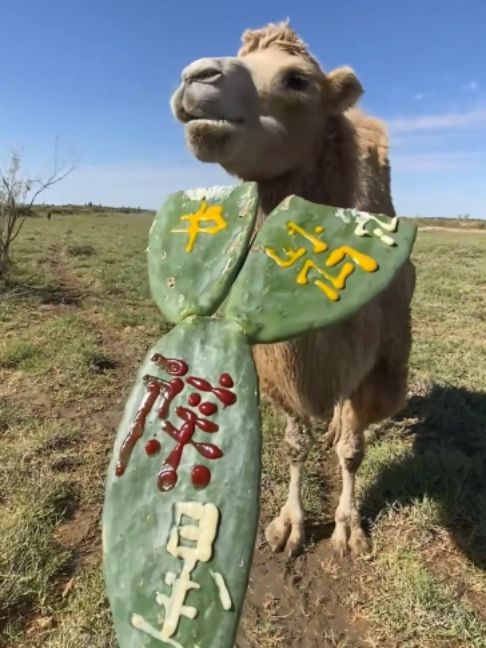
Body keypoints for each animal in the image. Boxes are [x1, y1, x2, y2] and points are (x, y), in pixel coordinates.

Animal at [170, 20, 416, 558]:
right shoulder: (277, 365)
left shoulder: (376, 361)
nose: (194, 76)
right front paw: (289, 525)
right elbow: (294, 445)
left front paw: (348, 528)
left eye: (297, 80)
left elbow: (353, 449)